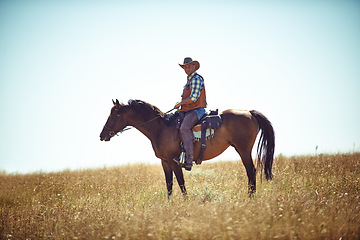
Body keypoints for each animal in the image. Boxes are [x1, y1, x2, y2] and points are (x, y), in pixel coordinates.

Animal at [100, 99, 274, 197]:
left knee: (251, 171)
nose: (102, 135)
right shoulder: (165, 162)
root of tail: (249, 112)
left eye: (114, 115)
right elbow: (169, 184)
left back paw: (250, 197)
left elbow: (181, 183)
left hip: (243, 150)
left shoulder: (174, 161)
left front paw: (185, 202)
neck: (161, 128)